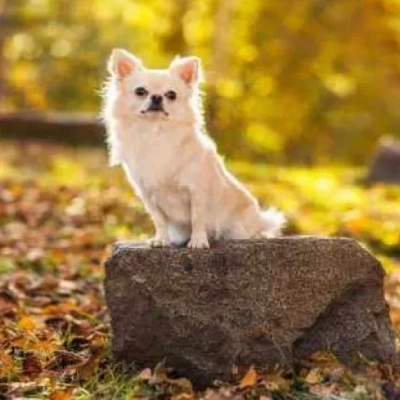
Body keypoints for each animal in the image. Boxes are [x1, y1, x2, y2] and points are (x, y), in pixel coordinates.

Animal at [103, 48, 284, 248]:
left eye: (171, 95)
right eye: (140, 91)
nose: (157, 97)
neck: (156, 133)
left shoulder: (197, 190)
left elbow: (197, 217)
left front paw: (198, 241)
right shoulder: (148, 194)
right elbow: (159, 219)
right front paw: (162, 239)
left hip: (238, 228)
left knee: (251, 232)